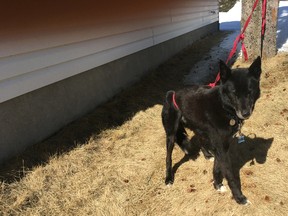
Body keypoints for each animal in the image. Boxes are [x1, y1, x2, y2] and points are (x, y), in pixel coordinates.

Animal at [161, 56, 262, 205]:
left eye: (250, 92)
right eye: (234, 93)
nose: (245, 114)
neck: (224, 107)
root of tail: (171, 93)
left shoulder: (222, 145)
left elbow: (217, 166)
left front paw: (217, 184)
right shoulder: (221, 146)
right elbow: (230, 175)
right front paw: (239, 198)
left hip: (198, 127)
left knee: (200, 139)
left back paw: (207, 155)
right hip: (171, 134)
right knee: (168, 157)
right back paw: (168, 178)